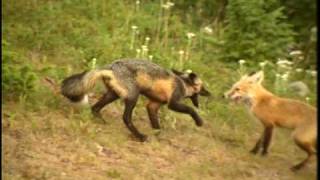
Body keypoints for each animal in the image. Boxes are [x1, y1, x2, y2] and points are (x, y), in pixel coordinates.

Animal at [60, 58, 210, 141]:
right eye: (203, 88)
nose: (210, 94)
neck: (182, 83)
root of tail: (110, 66)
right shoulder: (173, 102)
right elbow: (191, 110)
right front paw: (199, 121)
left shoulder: (153, 105)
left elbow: (156, 125)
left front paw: (158, 136)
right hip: (133, 96)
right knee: (126, 118)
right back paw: (140, 136)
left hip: (113, 95)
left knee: (95, 108)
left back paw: (101, 121)